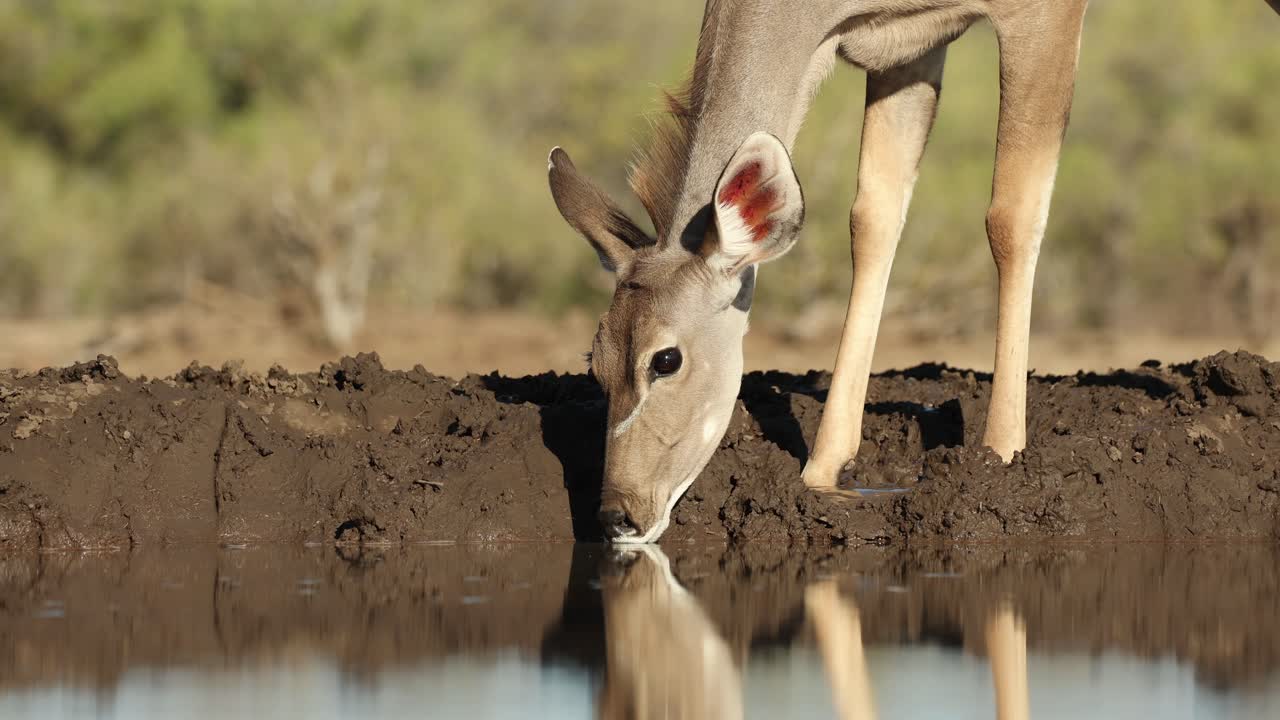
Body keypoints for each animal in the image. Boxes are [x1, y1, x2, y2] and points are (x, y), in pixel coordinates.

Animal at [549, 0, 1280, 543]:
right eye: (595, 363)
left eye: (666, 359)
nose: (617, 517)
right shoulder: (905, 52)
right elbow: (874, 216)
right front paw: (823, 471)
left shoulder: (1043, 16)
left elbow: (1010, 215)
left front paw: (1001, 457)